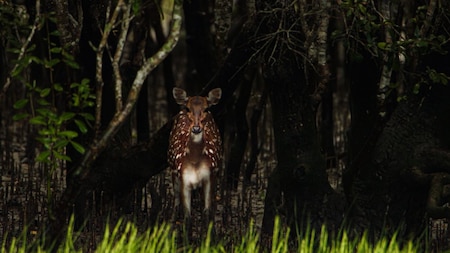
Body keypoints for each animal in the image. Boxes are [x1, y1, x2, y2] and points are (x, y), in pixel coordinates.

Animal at [168, 87, 222, 223]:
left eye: (206, 108)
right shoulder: (184, 178)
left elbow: (206, 213)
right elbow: (187, 217)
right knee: (176, 201)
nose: (196, 128)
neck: (194, 161)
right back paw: (172, 220)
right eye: (188, 109)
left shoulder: (209, 177)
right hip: (172, 171)